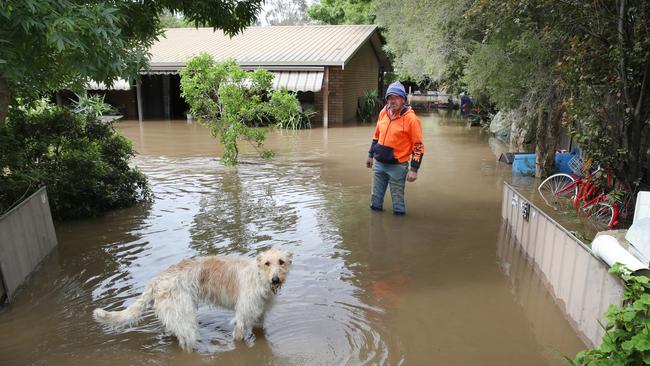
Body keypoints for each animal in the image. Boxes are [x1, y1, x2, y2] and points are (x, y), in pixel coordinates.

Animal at [92, 247, 292, 350]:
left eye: (281, 262)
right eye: (267, 263)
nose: (276, 280)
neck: (259, 278)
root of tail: (156, 280)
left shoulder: (259, 316)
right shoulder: (242, 318)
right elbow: (238, 336)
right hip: (184, 317)